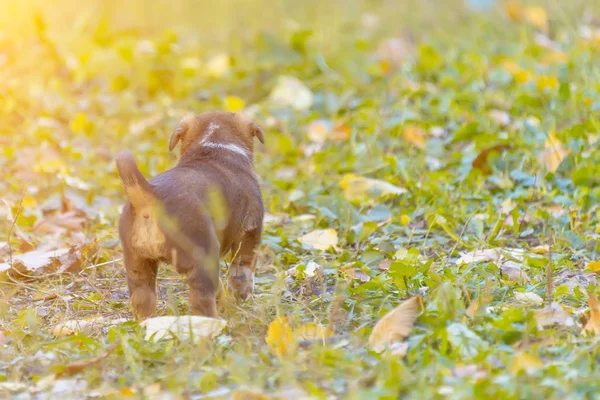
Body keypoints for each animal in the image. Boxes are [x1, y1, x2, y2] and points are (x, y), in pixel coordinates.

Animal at [116, 111, 264, 318]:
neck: (213, 144)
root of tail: (150, 195)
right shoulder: (250, 232)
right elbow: (242, 271)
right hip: (202, 259)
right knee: (202, 302)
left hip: (137, 265)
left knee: (142, 302)